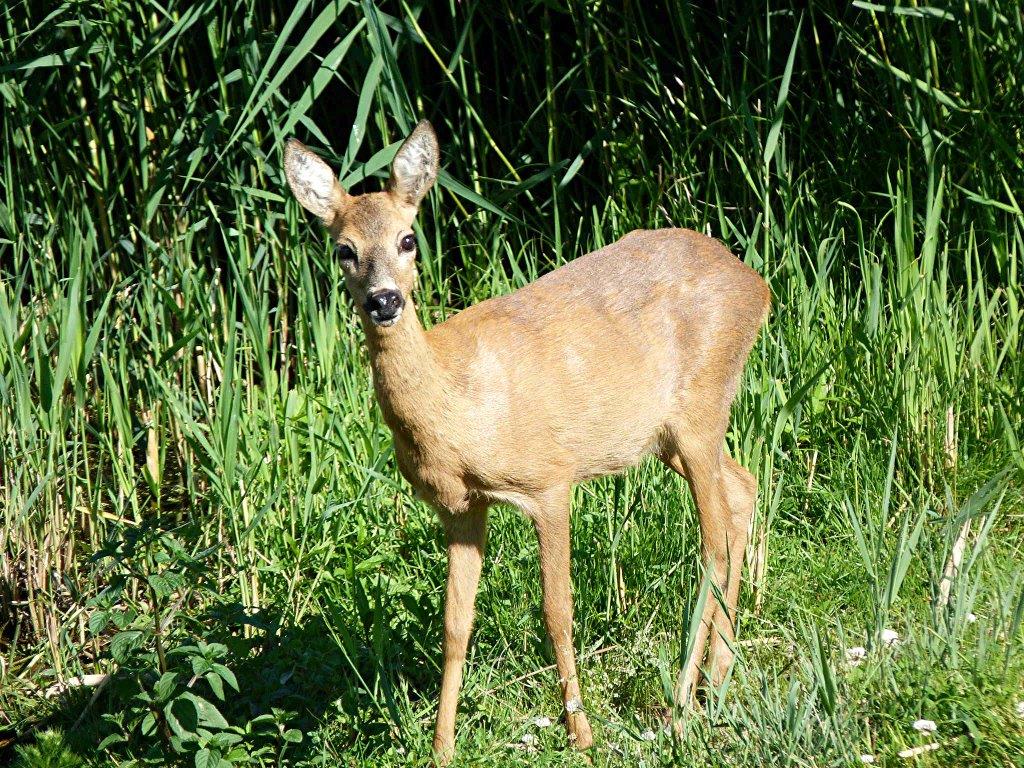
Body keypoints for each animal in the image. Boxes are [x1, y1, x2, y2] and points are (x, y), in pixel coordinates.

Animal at [284, 120, 770, 764]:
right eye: (344, 249)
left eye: (408, 238)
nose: (384, 300)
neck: (459, 409)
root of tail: (758, 286)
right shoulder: (460, 510)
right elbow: (455, 624)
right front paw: (442, 747)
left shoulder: (549, 481)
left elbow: (557, 609)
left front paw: (581, 732)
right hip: (672, 434)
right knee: (742, 488)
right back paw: (718, 676)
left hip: (700, 408)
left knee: (711, 546)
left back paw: (682, 709)